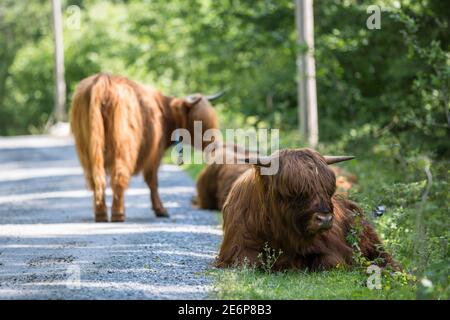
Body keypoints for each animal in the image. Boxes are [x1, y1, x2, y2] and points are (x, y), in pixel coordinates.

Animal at [71, 72, 223, 222]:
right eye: (199, 120)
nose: (216, 145)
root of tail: (103, 79)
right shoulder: (155, 153)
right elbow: (153, 181)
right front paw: (161, 210)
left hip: (88, 147)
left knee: (96, 179)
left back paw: (101, 214)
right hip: (123, 145)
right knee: (119, 175)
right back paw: (118, 215)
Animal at [216, 148, 392, 270]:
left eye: (328, 189)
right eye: (294, 191)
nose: (325, 219)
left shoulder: (333, 250)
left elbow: (329, 262)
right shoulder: (238, 249)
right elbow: (250, 261)